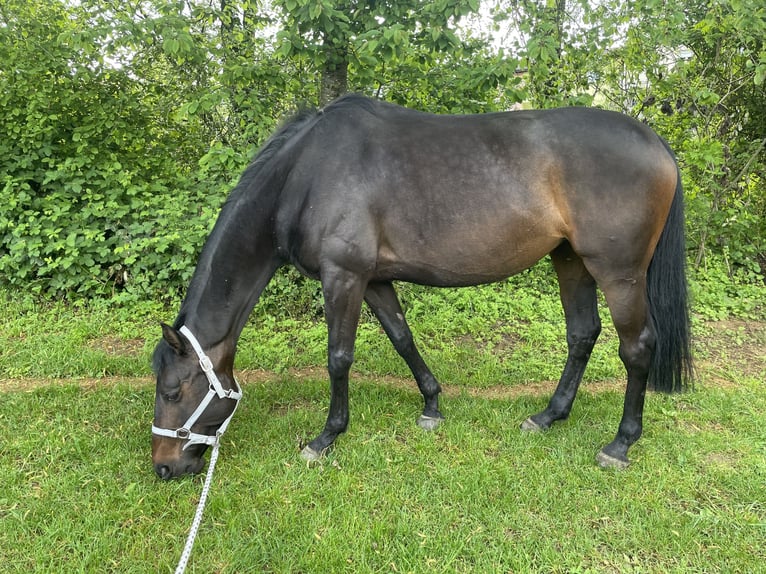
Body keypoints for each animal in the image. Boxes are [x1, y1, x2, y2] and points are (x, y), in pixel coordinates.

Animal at [152, 94, 696, 482]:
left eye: (174, 389)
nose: (164, 466)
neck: (306, 174)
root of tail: (656, 143)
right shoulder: (374, 279)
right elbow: (402, 337)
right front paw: (432, 405)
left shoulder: (343, 275)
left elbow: (339, 357)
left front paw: (325, 438)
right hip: (571, 261)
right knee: (582, 334)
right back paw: (548, 416)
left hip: (618, 272)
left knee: (637, 347)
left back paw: (620, 444)